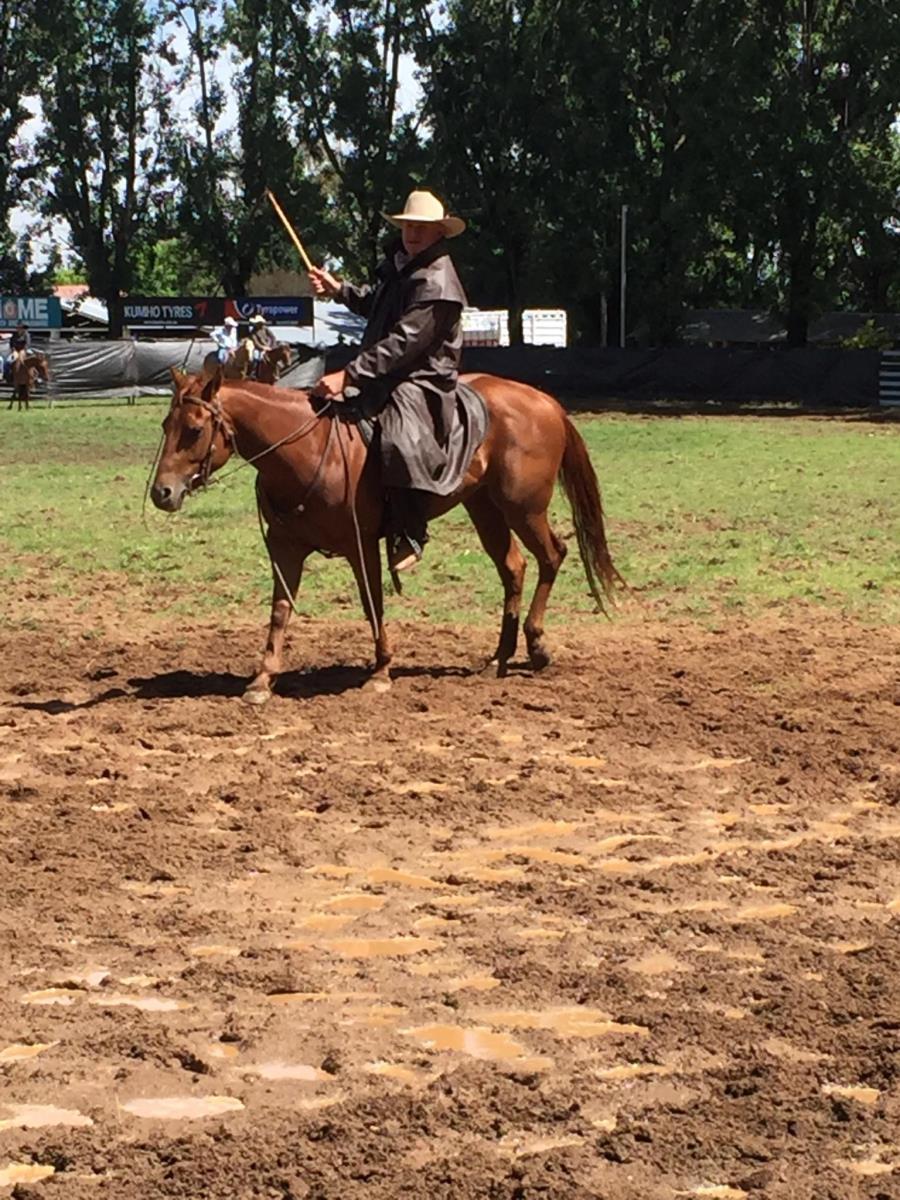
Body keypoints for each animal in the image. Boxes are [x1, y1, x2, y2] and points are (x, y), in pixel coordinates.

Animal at [151, 369, 622, 702]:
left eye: (194, 429)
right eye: (165, 425)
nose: (162, 492)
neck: (305, 449)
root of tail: (545, 401)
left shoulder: (361, 546)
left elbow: (372, 605)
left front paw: (380, 672)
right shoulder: (285, 549)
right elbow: (280, 611)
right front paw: (262, 679)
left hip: (523, 508)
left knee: (552, 555)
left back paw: (537, 645)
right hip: (485, 508)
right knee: (514, 568)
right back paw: (498, 658)